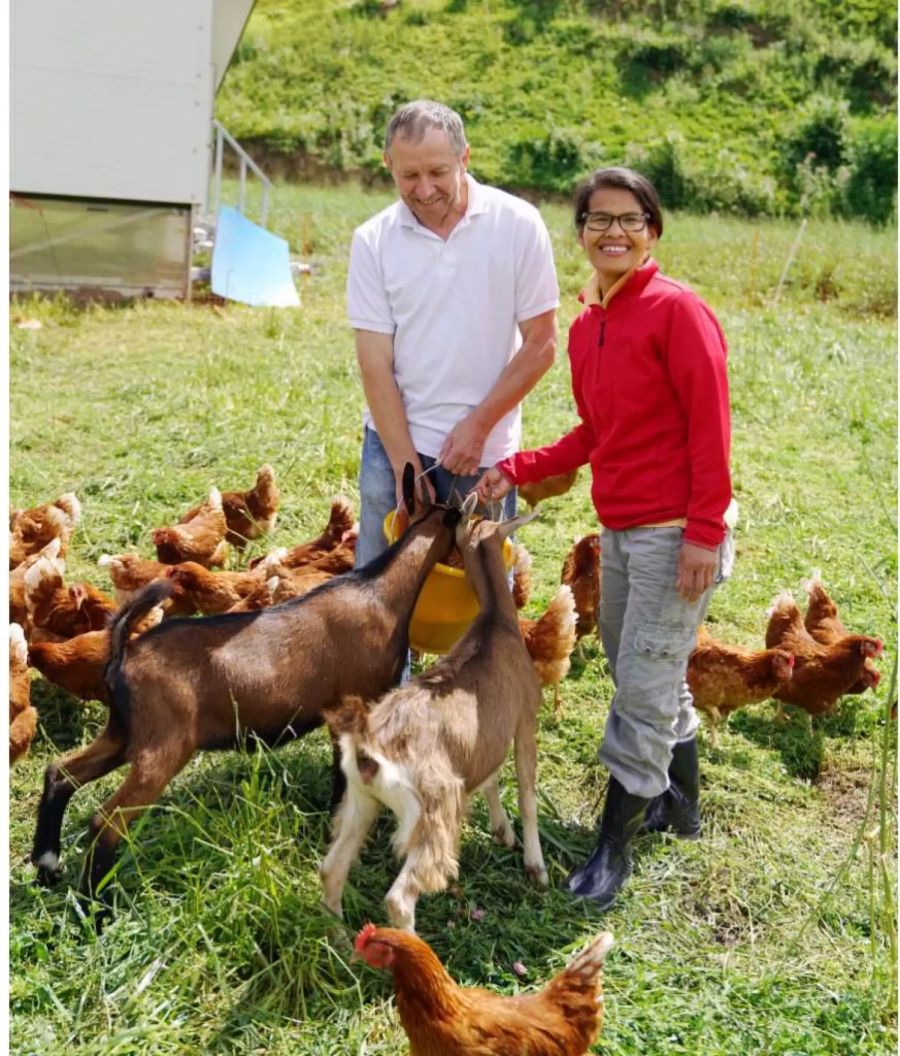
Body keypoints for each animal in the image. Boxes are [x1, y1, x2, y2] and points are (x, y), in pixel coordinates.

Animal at [31, 466, 460, 903]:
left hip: (124, 732)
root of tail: (122, 652)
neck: (381, 591)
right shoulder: (360, 703)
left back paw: (48, 868)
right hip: (162, 747)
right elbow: (348, 777)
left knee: (60, 774)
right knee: (106, 821)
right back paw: (96, 903)